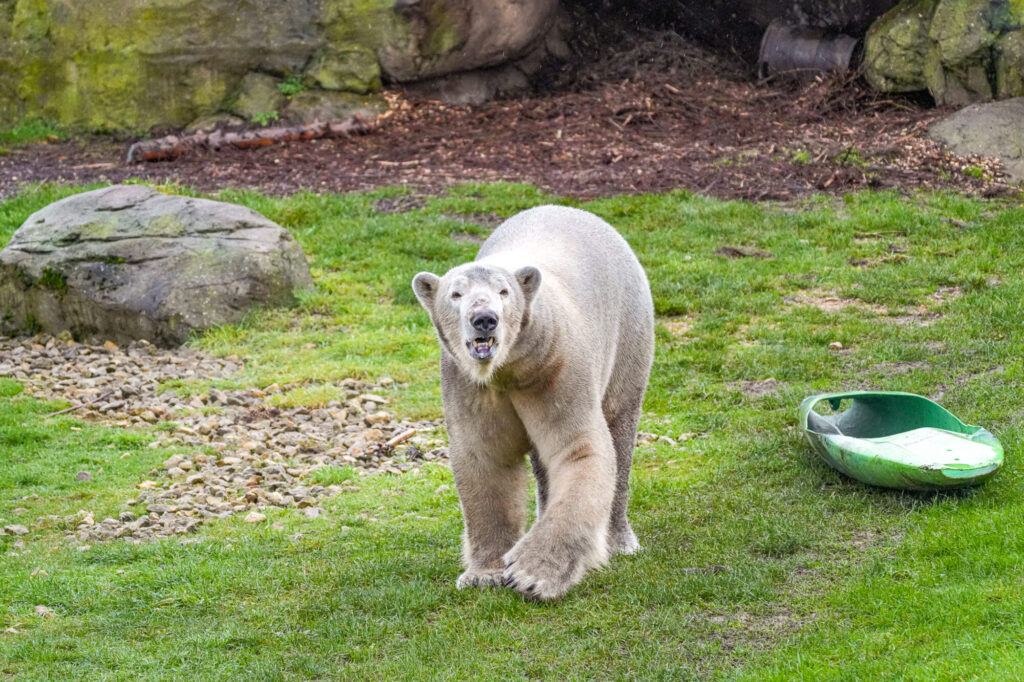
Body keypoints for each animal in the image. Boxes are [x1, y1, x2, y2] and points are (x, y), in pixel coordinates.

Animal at [412, 205, 654, 601]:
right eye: (456, 294)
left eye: (503, 291)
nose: (485, 319)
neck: (510, 368)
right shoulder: (471, 386)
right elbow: (486, 458)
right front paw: (484, 573)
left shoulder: (556, 370)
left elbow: (579, 449)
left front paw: (531, 572)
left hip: (628, 332)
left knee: (620, 426)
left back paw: (620, 540)